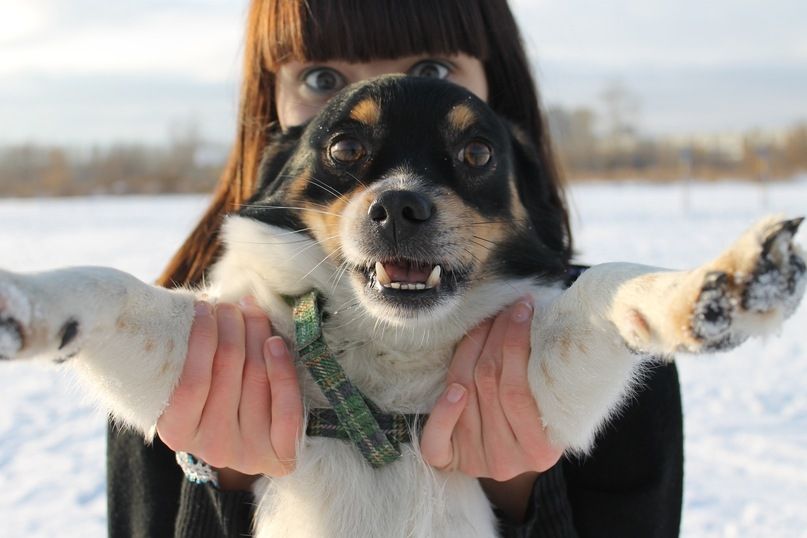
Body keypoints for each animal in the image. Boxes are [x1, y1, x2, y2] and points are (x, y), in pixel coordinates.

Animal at [0, 73, 804, 532]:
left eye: (478, 154)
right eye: (343, 147)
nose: (399, 208)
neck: (389, 360)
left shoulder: (550, 381)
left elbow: (607, 286)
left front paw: (719, 285)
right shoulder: (182, 351)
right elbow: (116, 289)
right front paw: (27, 302)